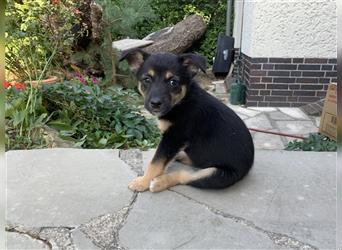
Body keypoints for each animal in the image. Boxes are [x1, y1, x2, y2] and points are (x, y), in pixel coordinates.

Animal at [120, 49, 254, 193]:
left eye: (173, 82)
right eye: (147, 79)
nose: (155, 104)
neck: (183, 101)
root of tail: (249, 165)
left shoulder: (174, 137)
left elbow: (156, 162)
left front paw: (143, 181)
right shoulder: (172, 140)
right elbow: (160, 159)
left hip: (217, 174)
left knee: (186, 175)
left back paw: (159, 182)